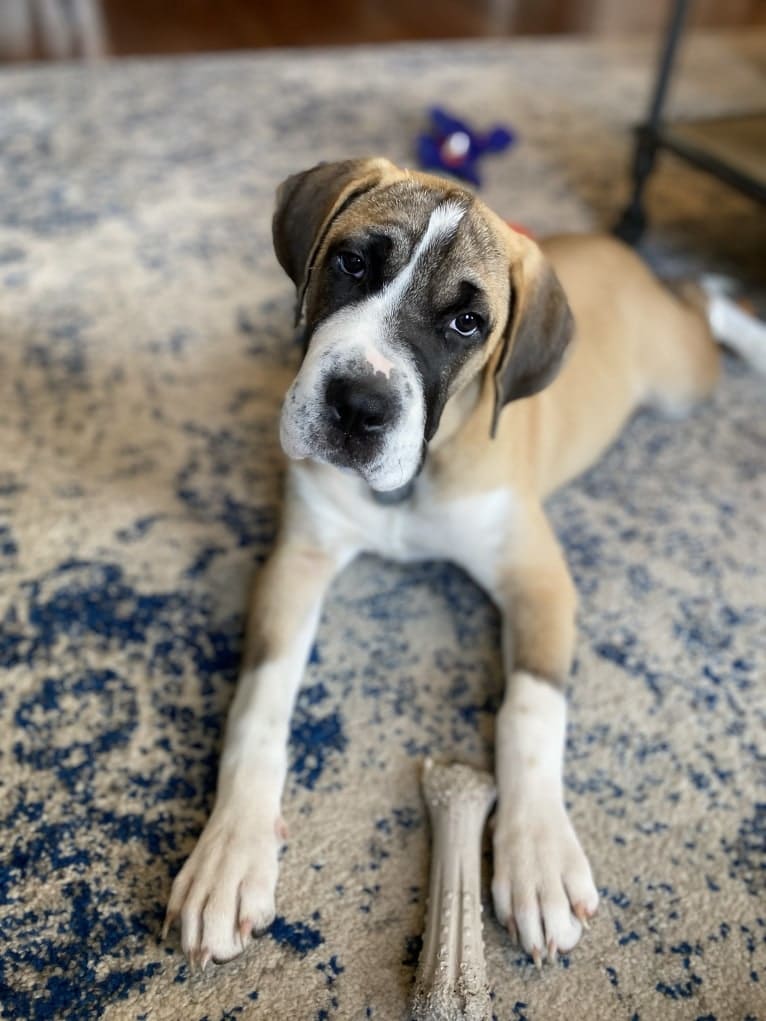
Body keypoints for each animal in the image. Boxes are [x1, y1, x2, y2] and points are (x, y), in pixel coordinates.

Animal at [162, 155, 727, 967]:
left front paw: (538, 855)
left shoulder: (540, 581)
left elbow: (531, 710)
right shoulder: (297, 560)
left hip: (684, 380)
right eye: (352, 263)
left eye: (468, 324)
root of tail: (617, 249)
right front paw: (230, 853)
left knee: (704, 310)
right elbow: (259, 705)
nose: (358, 407)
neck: (413, 481)